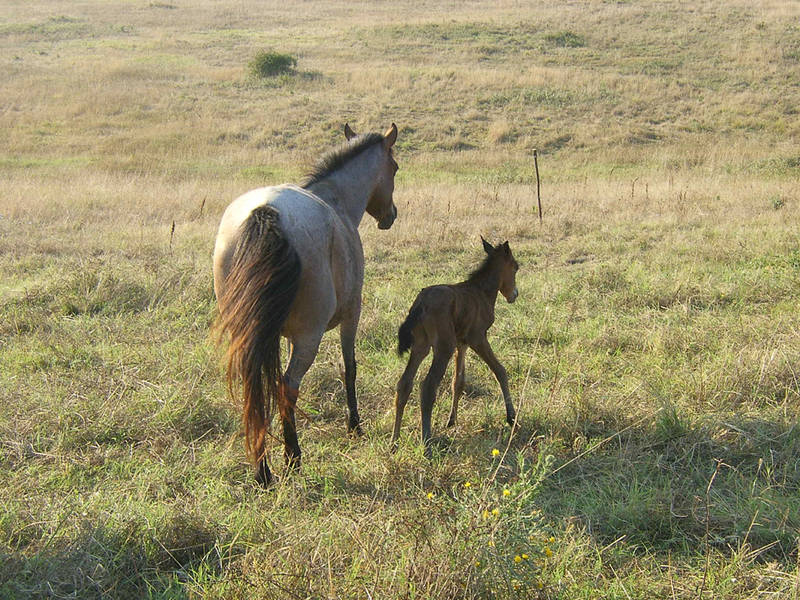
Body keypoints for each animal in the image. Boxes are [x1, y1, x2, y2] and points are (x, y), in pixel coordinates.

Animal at [214, 124, 398, 486]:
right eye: (395, 168)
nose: (391, 217)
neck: (336, 199)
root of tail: (266, 212)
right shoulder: (351, 313)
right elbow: (349, 367)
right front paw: (355, 426)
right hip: (309, 337)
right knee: (287, 387)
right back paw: (291, 458)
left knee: (256, 385)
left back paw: (262, 468)